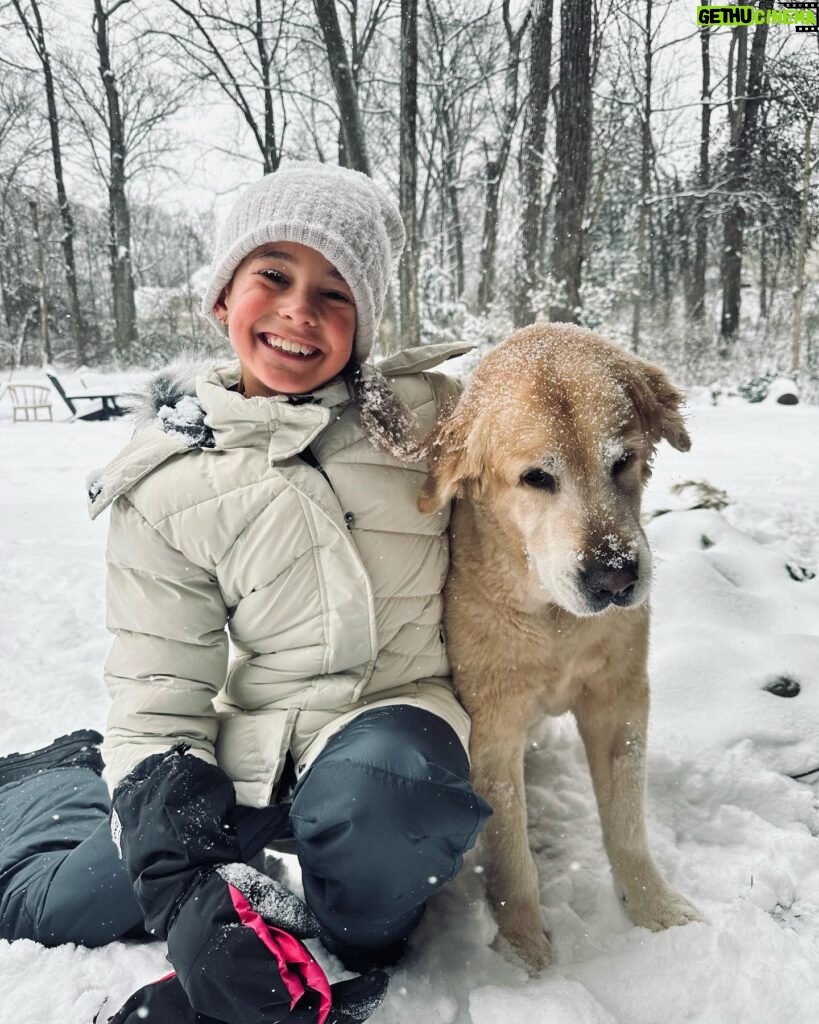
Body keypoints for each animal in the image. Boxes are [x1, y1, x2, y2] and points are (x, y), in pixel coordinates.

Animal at [419, 323, 700, 970]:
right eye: (536, 478)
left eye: (622, 461)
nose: (615, 579)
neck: (554, 621)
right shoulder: (491, 726)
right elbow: (509, 853)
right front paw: (524, 947)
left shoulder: (620, 698)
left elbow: (626, 823)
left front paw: (652, 907)